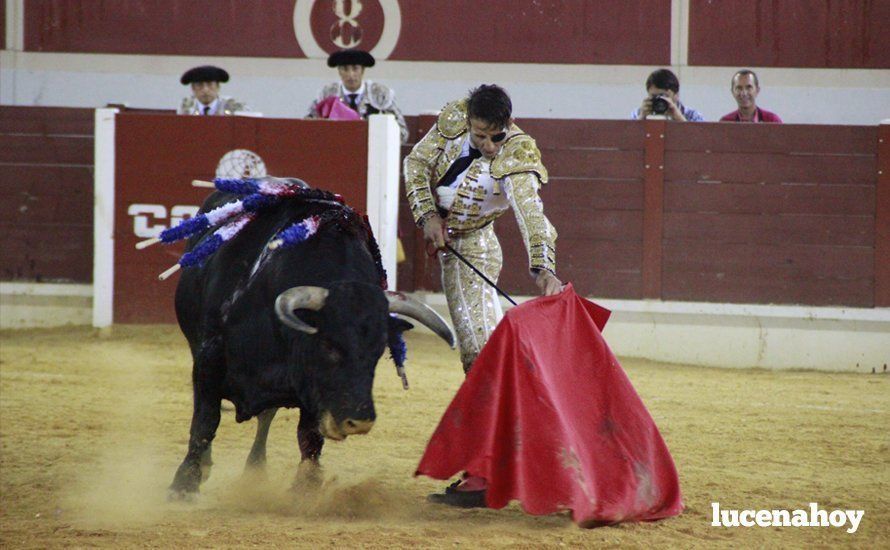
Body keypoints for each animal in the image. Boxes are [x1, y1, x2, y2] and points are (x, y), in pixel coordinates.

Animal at [166, 183, 450, 502]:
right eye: (328, 346)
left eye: (378, 352)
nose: (360, 421)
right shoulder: (209, 357)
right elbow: (205, 419)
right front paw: (184, 483)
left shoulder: (308, 386)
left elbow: (308, 435)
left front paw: (306, 488)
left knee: (266, 418)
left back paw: (256, 471)